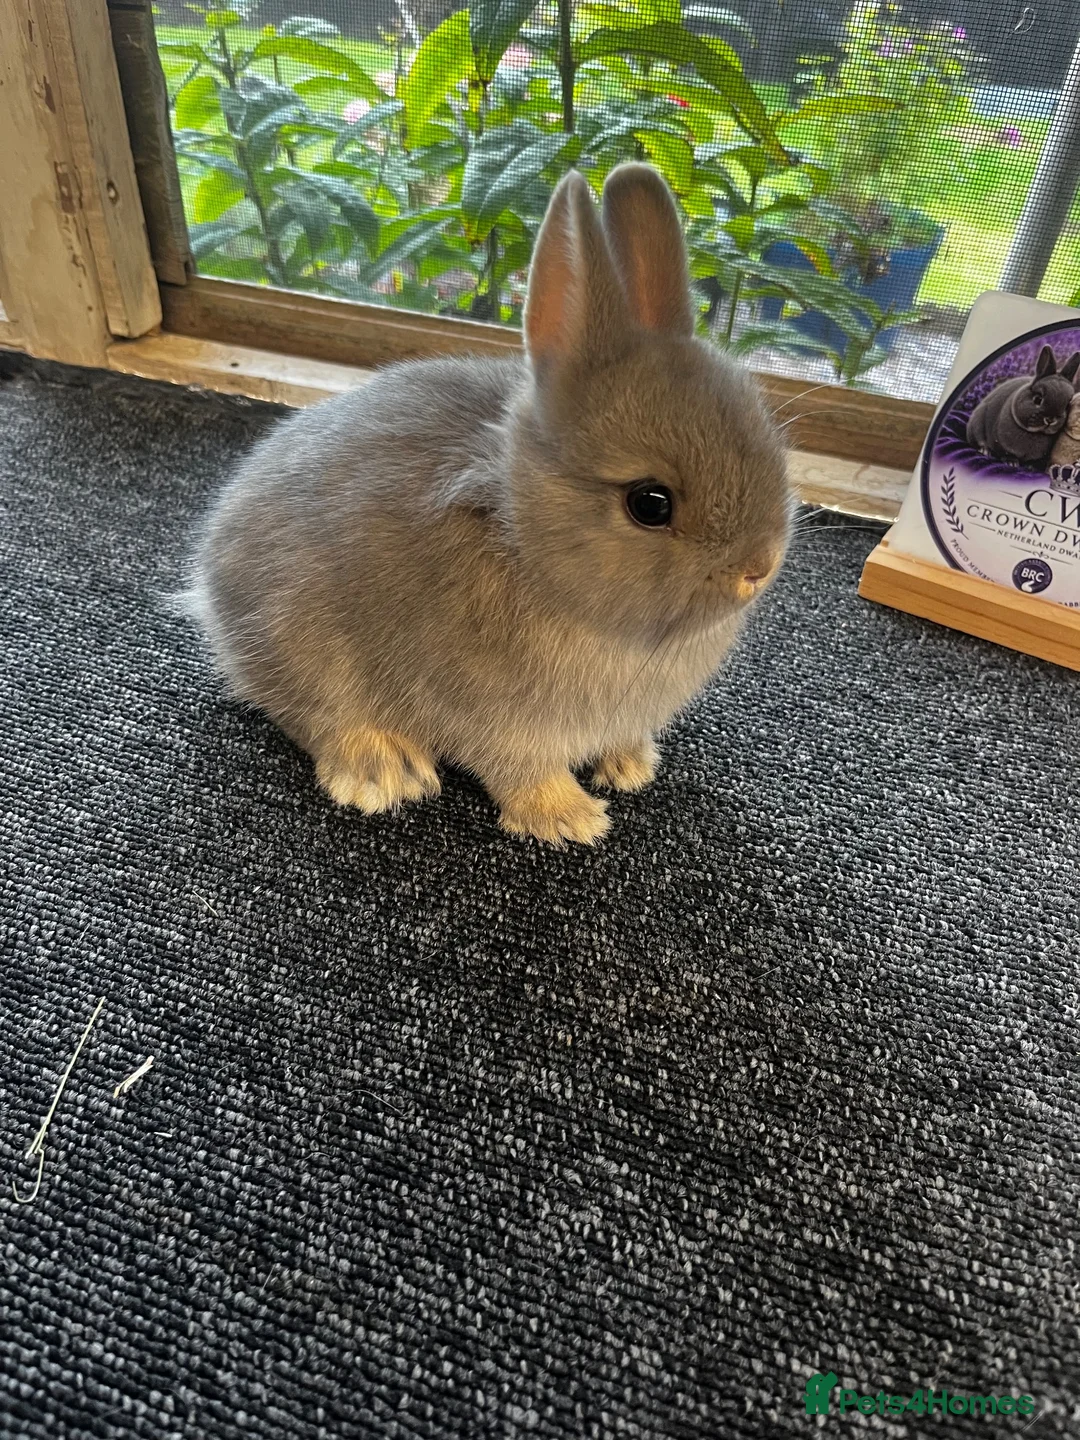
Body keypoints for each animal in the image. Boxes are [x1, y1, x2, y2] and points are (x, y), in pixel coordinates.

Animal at [183, 165, 792, 845]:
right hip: (299, 648)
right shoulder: (495, 721)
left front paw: (630, 767)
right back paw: (383, 772)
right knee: (313, 716)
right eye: (651, 504)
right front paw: (572, 819)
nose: (758, 568)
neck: (523, 540)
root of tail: (209, 581)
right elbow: (518, 771)